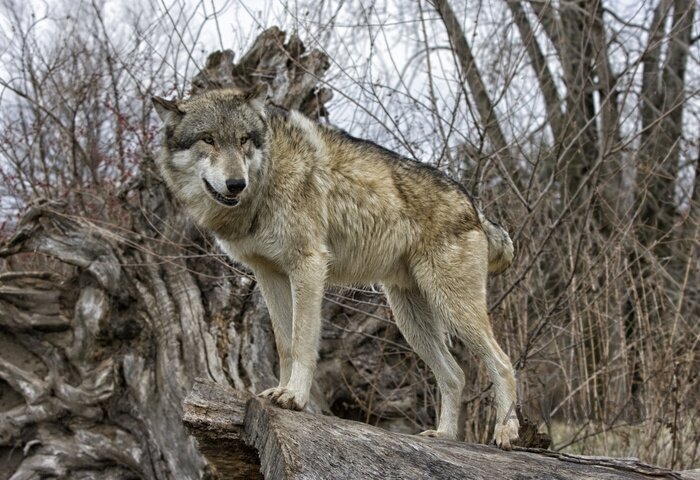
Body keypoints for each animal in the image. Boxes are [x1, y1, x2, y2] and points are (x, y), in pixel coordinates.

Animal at [156, 84, 524, 448]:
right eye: (208, 139)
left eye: (244, 139)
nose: (236, 184)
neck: (268, 176)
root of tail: (474, 207)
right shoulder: (269, 274)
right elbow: (284, 344)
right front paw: (281, 390)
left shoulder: (308, 265)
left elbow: (302, 341)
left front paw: (294, 397)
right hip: (410, 318)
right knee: (455, 375)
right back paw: (444, 435)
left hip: (452, 307)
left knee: (503, 362)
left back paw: (505, 432)